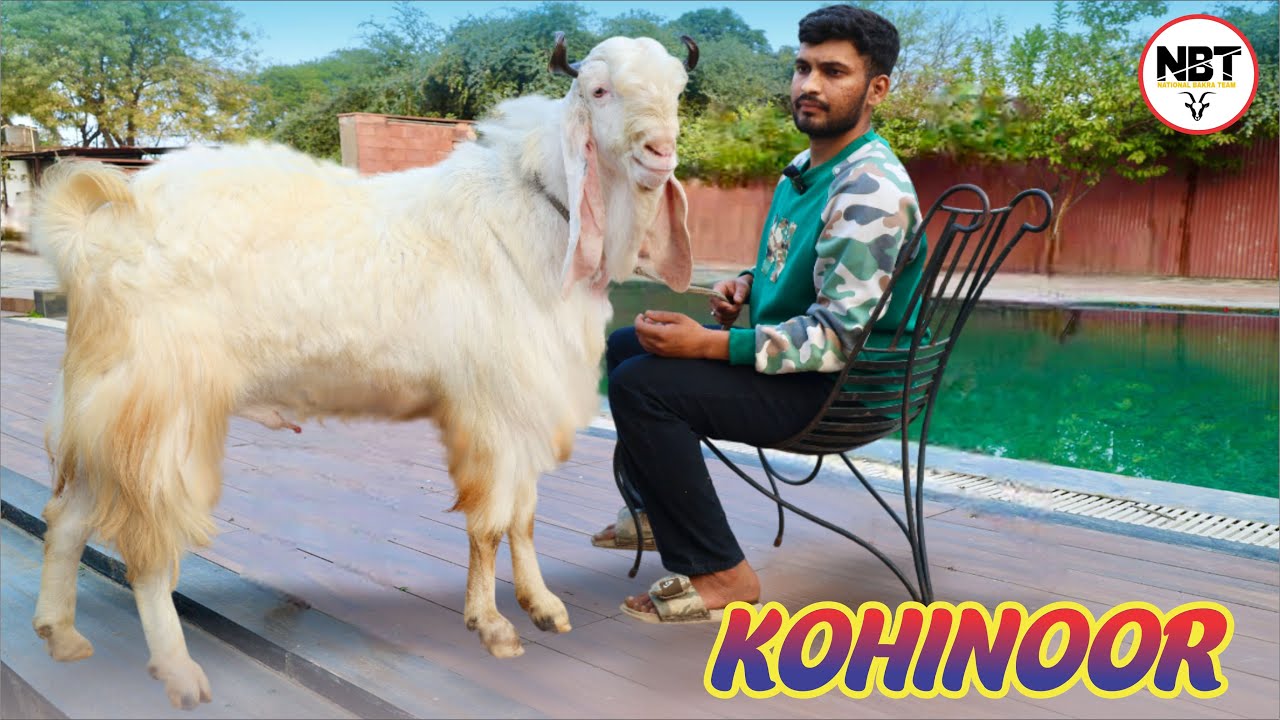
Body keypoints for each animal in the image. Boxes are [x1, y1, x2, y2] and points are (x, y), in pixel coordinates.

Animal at [29, 33, 696, 709]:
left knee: (67, 517)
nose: (659, 153)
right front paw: (493, 626)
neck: (536, 214)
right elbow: (490, 523)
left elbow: (524, 516)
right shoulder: (490, 407)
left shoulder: (524, 405)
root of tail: (104, 221)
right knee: (146, 545)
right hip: (161, 408)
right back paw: (179, 672)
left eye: (678, 88)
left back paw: (61, 635)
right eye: (598, 89)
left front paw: (543, 606)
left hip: (107, 410)